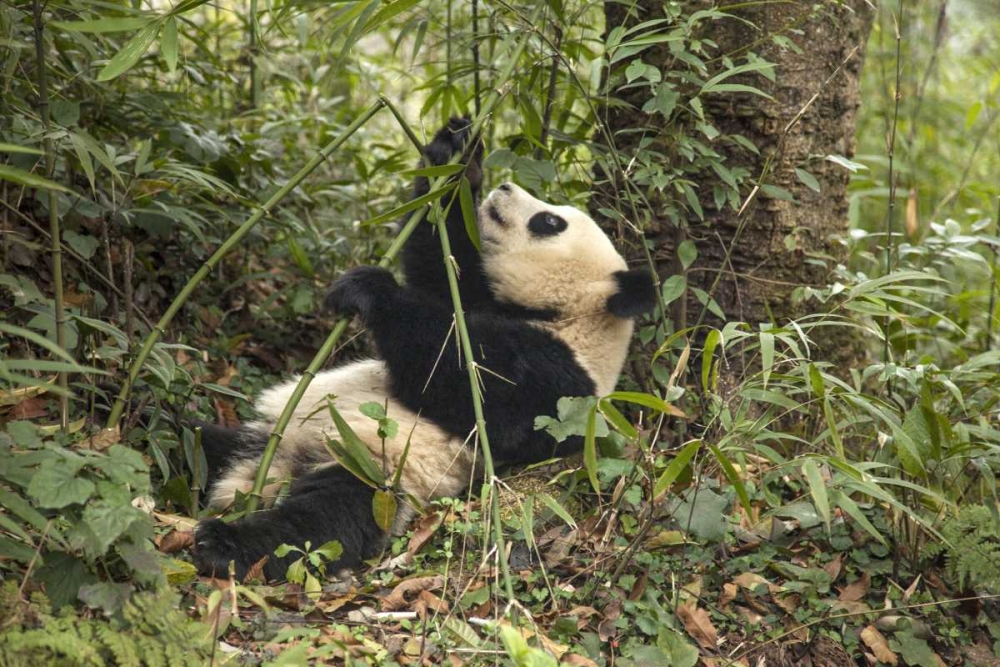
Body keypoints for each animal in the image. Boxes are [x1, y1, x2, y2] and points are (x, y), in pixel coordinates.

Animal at [189, 118, 656, 580]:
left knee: (320, 522)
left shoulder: (562, 387)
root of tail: (270, 469)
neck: (568, 317)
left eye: (549, 221)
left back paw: (224, 544)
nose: (505, 187)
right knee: (201, 440)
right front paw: (457, 152)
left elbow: (470, 387)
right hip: (265, 435)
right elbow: (444, 265)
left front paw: (371, 289)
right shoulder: (482, 301)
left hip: (376, 468)